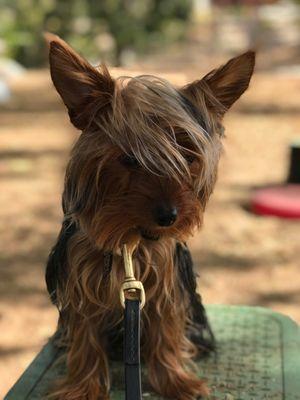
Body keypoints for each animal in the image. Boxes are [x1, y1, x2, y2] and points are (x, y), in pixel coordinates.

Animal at [45, 35, 254, 400]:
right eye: (129, 158)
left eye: (188, 157)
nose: (169, 216)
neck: (130, 238)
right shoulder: (80, 283)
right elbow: (85, 338)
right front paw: (82, 387)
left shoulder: (164, 283)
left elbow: (166, 333)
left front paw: (176, 381)